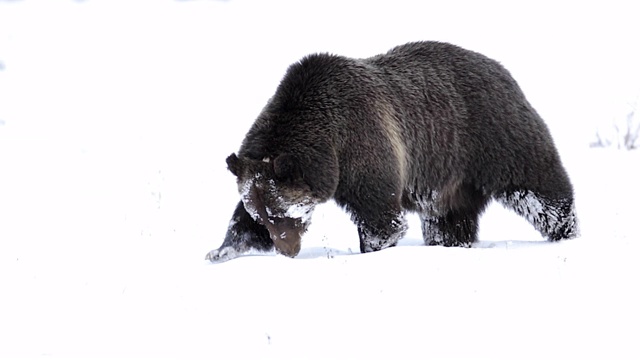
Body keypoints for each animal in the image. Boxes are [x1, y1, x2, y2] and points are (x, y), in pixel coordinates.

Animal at [206, 41, 580, 262]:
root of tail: (501, 68)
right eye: (264, 217)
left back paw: (565, 232)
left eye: (288, 212)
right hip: (449, 180)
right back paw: (450, 245)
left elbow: (382, 218)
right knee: (448, 221)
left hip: (492, 137)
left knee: (540, 190)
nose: (288, 250)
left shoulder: (365, 145)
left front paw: (370, 251)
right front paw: (221, 250)